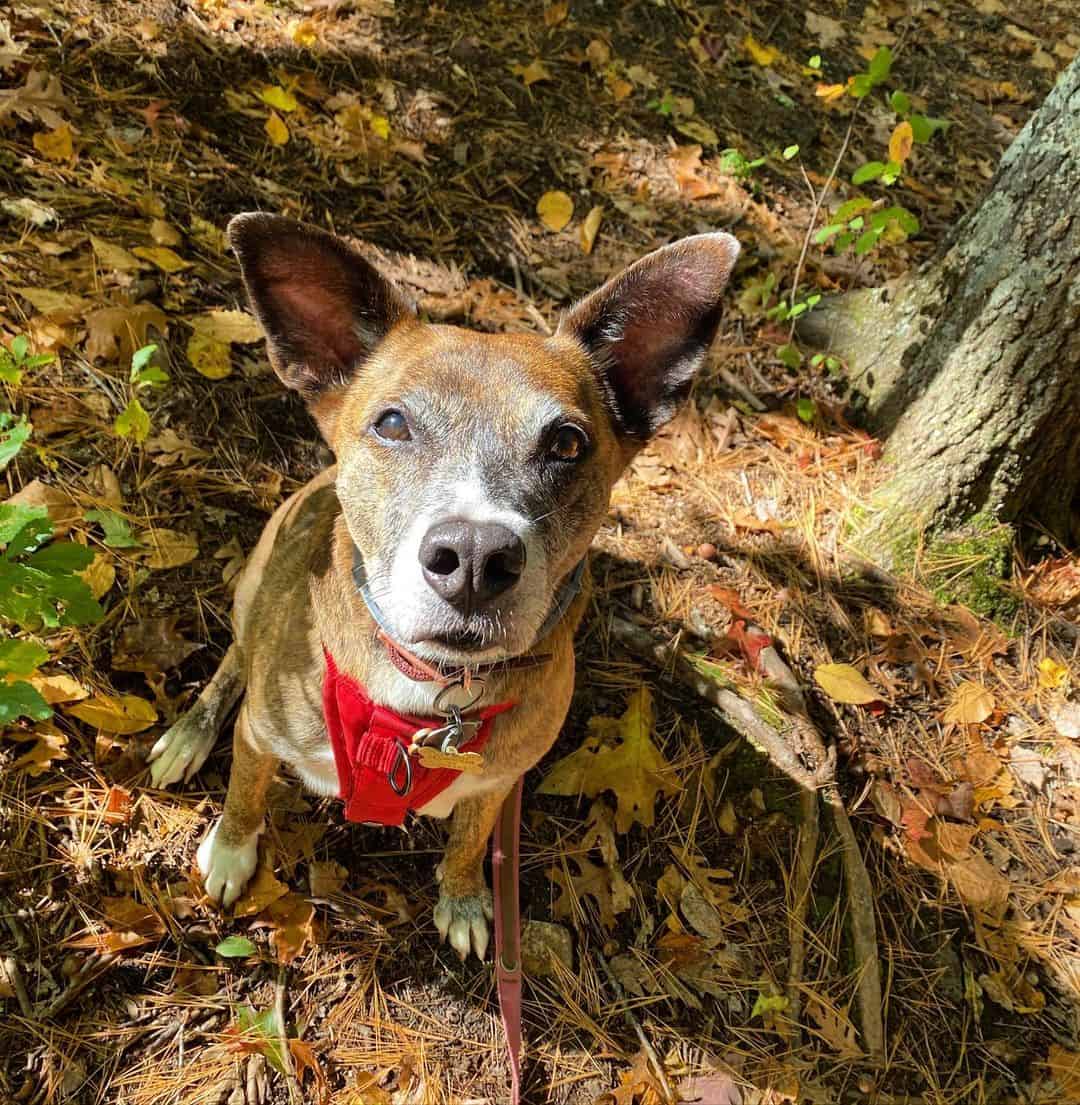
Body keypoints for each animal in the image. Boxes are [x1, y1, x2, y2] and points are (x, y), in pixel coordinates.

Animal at [151, 213, 738, 959]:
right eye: (392, 423)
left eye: (568, 443)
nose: (475, 558)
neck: (430, 689)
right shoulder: (260, 733)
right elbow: (244, 795)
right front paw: (231, 851)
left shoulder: (499, 779)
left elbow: (470, 839)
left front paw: (461, 898)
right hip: (255, 582)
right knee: (235, 658)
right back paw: (189, 735)